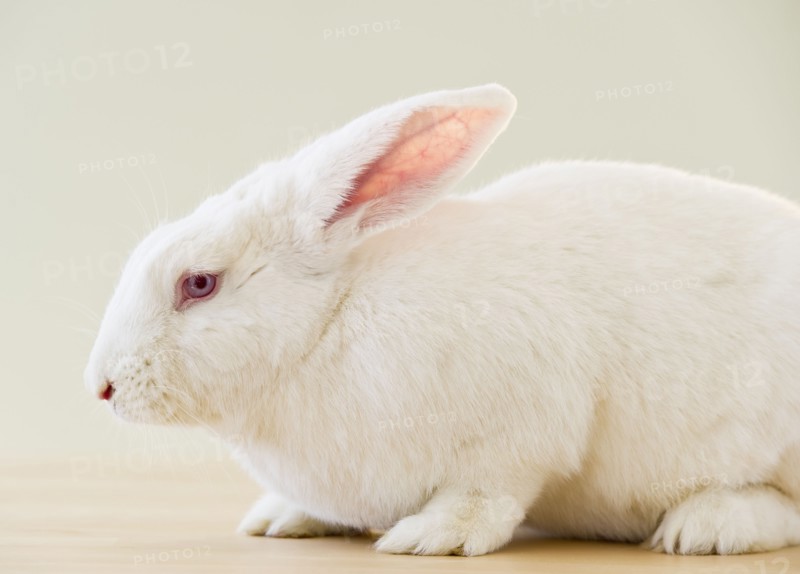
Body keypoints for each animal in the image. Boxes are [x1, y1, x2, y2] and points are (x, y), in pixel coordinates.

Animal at [85, 83, 800, 557]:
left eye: (199, 284)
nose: (101, 388)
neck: (325, 327)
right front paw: (280, 519)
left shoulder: (519, 438)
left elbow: (485, 496)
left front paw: (431, 538)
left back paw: (704, 526)